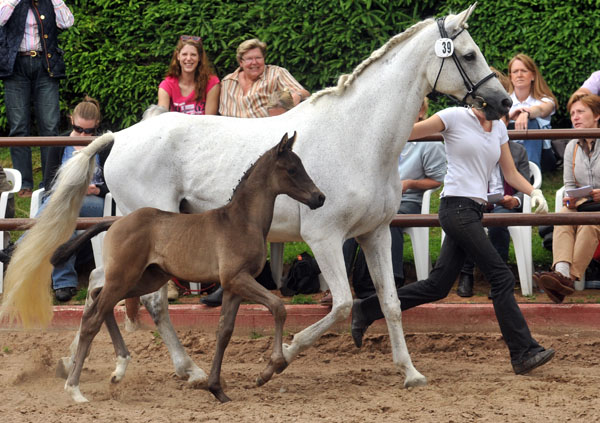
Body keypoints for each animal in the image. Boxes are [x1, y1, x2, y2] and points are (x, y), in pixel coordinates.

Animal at [51, 133, 324, 404]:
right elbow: (278, 307)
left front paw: (217, 389)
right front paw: (272, 368)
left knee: (100, 302)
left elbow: (225, 331)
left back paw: (118, 370)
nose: (319, 197)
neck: (243, 221)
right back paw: (75, 389)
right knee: (94, 317)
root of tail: (115, 222)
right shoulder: (238, 279)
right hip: (124, 276)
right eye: (292, 169)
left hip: (145, 278)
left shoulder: (233, 286)